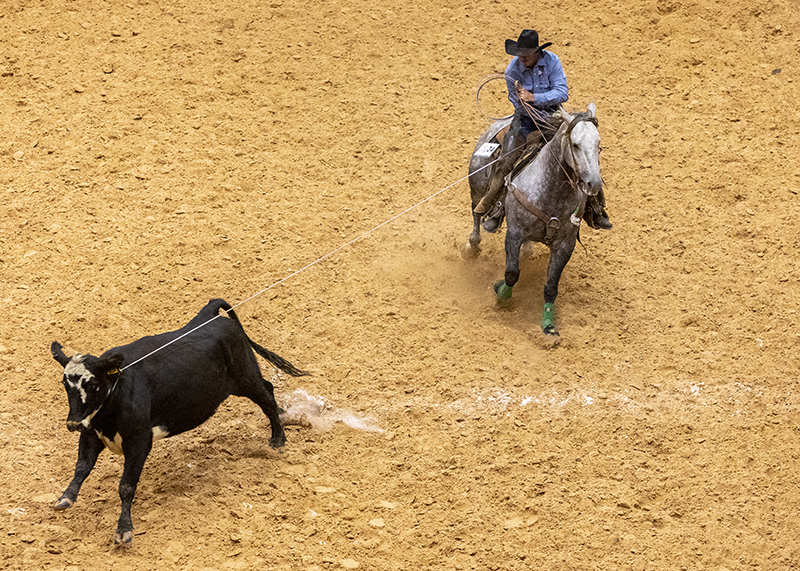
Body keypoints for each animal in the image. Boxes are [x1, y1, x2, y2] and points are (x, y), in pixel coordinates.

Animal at [465, 103, 603, 336]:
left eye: (598, 144)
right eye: (575, 145)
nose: (594, 183)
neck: (552, 191)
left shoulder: (565, 244)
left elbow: (551, 286)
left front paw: (548, 326)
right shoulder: (514, 232)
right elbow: (512, 273)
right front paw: (501, 295)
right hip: (477, 186)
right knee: (476, 214)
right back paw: (472, 247)